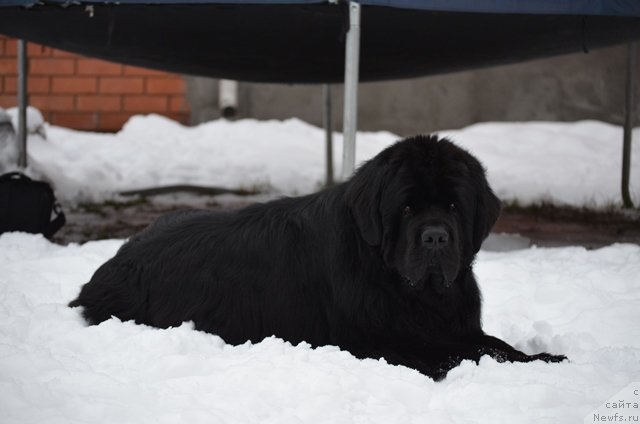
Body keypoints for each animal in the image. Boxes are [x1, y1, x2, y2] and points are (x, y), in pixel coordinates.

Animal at [70, 137, 564, 380]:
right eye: (406, 208)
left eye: (454, 206)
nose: (436, 238)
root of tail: (105, 269)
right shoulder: (373, 342)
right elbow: (452, 357)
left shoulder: (457, 325)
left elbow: (496, 345)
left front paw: (547, 358)